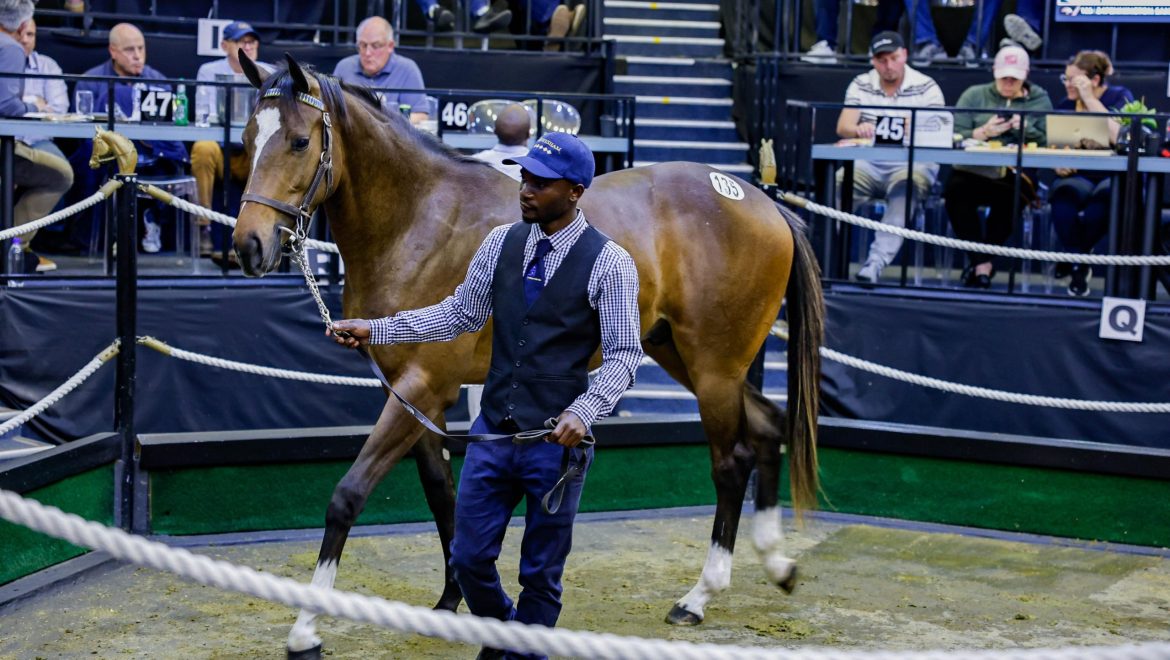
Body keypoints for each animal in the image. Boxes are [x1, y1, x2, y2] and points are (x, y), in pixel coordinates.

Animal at [232, 53, 823, 659]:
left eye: (300, 141)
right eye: (248, 140)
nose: (248, 245)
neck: (420, 220)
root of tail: (764, 203)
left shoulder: (423, 385)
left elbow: (348, 495)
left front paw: (306, 627)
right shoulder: (410, 392)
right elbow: (444, 494)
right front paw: (453, 598)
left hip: (713, 367)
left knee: (731, 462)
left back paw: (699, 596)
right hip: (681, 354)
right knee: (768, 426)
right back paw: (777, 564)